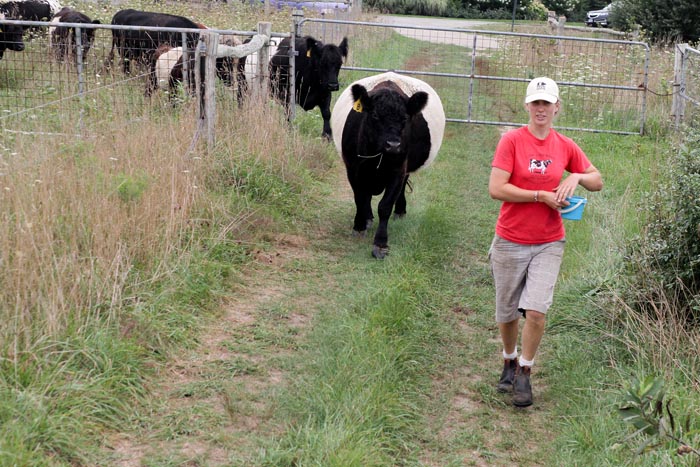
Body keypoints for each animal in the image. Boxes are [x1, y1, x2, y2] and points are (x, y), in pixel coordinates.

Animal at [330, 72, 446, 259]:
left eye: (405, 118)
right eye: (375, 116)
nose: (393, 145)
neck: (378, 157)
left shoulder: (397, 171)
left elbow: (385, 206)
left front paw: (380, 243)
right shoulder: (353, 169)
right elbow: (360, 197)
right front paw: (359, 226)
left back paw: (400, 210)